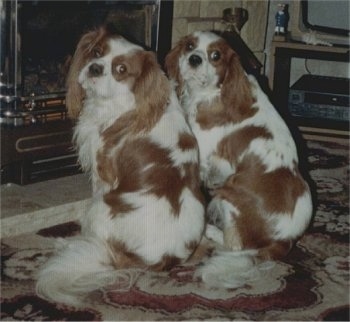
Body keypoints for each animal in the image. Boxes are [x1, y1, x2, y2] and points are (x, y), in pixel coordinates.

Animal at [35, 27, 205, 304]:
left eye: (121, 69)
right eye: (96, 52)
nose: (95, 68)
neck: (126, 100)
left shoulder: (102, 173)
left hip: (101, 207)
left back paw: (66, 243)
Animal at [165, 31, 314, 288]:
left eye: (215, 56)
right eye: (190, 46)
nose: (194, 59)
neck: (215, 92)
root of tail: (284, 241)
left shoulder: (201, 158)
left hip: (229, 193)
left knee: (234, 245)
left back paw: (209, 230)